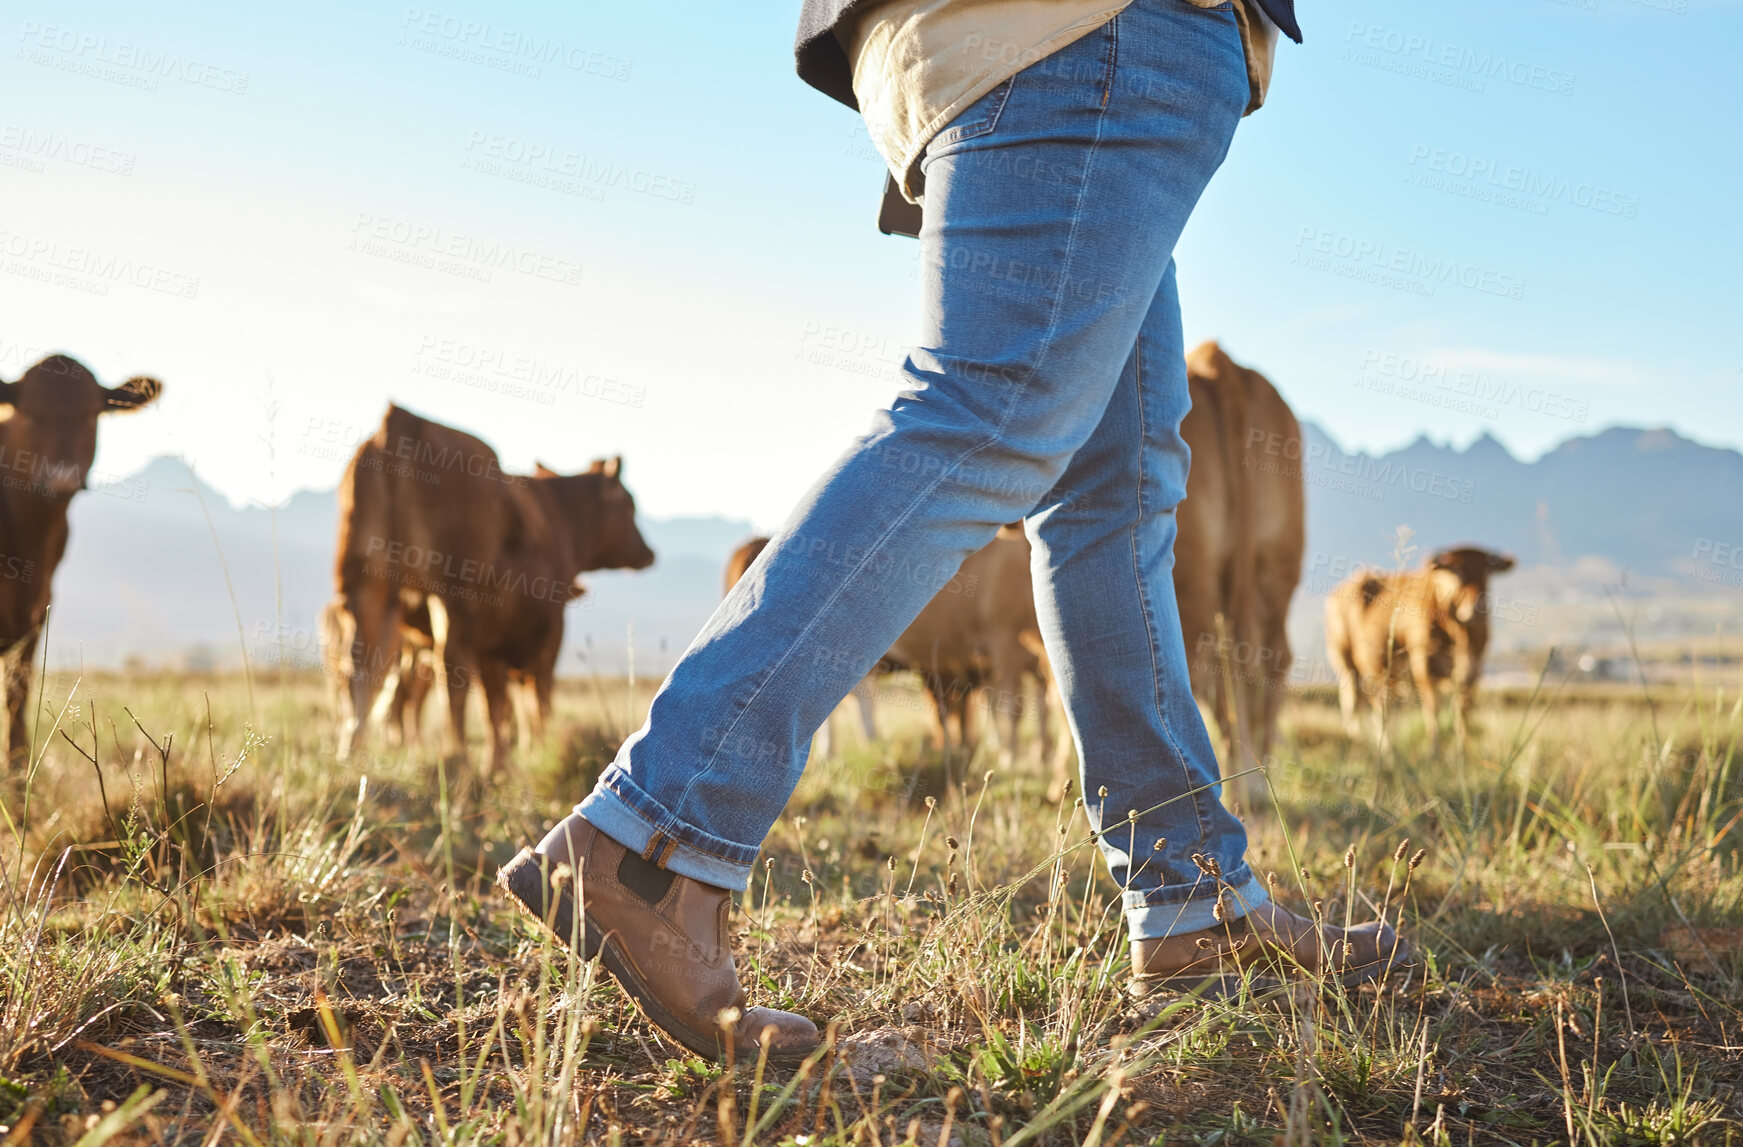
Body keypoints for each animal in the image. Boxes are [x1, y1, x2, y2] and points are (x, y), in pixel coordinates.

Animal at [0, 348, 160, 760]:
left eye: (92, 414)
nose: (62, 479)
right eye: (31, 412)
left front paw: (17, 762)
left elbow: (18, 688)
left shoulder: (41, 607)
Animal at [332, 402, 655, 766]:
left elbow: (498, 705)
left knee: (362, 667)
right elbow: (533, 699)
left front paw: (502, 759)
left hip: (367, 585)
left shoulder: (494, 643)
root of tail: (401, 418)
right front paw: (533, 750)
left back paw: (352, 750)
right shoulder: (548, 632)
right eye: (628, 505)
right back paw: (456, 753)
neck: (560, 518)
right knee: (448, 675)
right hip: (450, 597)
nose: (648, 552)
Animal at [1171, 339, 1310, 805]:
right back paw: (1256, 784)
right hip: (1278, 558)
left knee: (1204, 668)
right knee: (1270, 658)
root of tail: (1217, 361)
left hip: (1191, 570)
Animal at [1324, 547, 1519, 749]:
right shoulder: (1423, 665)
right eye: (1456, 571)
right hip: (1344, 663)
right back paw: (1361, 743)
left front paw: (1463, 748)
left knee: (1381, 707)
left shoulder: (1474, 670)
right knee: (1353, 702)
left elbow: (1463, 712)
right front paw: (1434, 750)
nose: (1476, 609)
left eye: (1487, 571)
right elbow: (1432, 709)